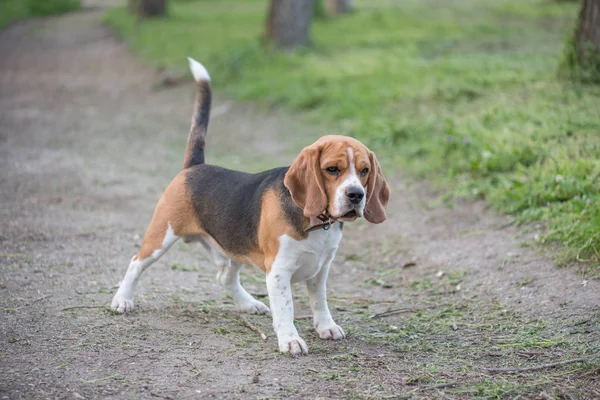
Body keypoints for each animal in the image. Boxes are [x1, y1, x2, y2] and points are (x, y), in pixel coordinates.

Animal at [110, 57, 392, 354]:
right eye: (332, 169)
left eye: (364, 171)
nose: (356, 195)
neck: (317, 223)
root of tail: (195, 166)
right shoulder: (278, 272)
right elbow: (286, 309)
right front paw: (290, 339)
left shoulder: (321, 269)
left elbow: (320, 301)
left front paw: (326, 326)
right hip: (161, 235)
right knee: (135, 263)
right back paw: (122, 300)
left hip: (234, 248)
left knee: (225, 278)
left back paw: (249, 304)